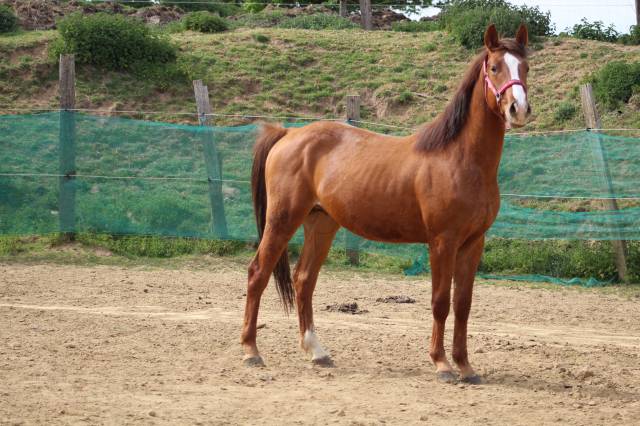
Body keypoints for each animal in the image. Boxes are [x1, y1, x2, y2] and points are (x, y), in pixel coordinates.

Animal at [241, 24, 531, 384]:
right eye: (494, 67)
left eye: (525, 67)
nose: (519, 109)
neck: (460, 159)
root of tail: (287, 133)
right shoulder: (442, 242)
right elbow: (440, 302)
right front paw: (442, 364)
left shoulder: (473, 243)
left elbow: (463, 305)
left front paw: (466, 367)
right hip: (282, 219)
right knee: (258, 273)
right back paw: (251, 351)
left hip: (321, 223)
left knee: (303, 280)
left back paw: (317, 352)